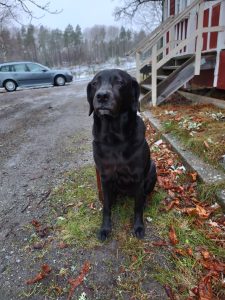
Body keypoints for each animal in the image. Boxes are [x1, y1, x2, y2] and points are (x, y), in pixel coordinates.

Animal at [86, 69, 156, 240]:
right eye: (95, 83)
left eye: (120, 82)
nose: (102, 96)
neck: (115, 139)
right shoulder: (104, 177)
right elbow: (106, 208)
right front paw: (105, 228)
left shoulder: (138, 178)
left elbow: (137, 207)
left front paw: (138, 227)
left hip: (153, 169)